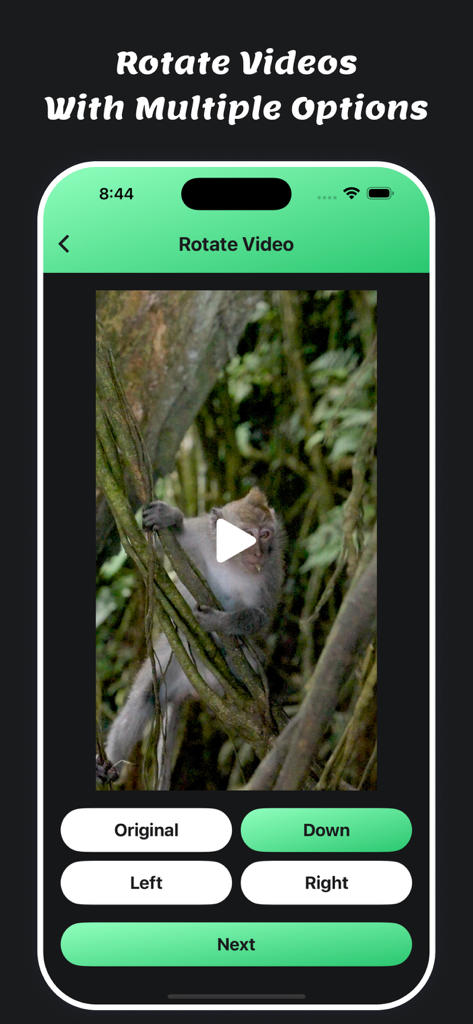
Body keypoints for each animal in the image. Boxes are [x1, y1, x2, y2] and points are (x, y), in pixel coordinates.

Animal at [98, 488, 284, 789]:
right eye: (245, 534)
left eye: (265, 534)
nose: (258, 553)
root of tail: (190, 686)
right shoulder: (204, 543)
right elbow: (165, 553)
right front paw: (172, 519)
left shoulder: (272, 571)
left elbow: (260, 618)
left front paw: (220, 622)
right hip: (172, 659)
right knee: (147, 694)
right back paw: (109, 765)